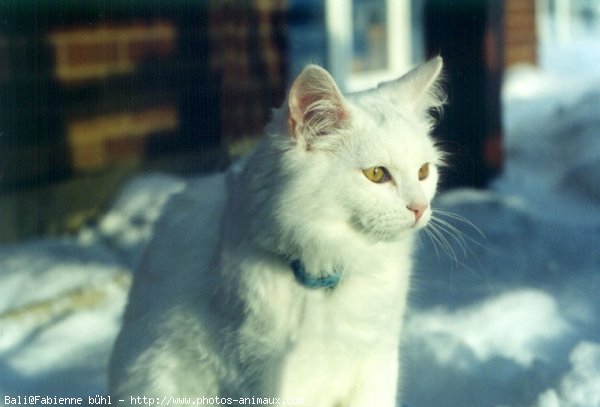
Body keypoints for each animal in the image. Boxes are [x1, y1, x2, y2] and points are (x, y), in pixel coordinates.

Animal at [108, 57, 446, 407]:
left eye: (423, 172)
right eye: (376, 174)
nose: (420, 208)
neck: (329, 269)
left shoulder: (376, 364)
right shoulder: (271, 376)